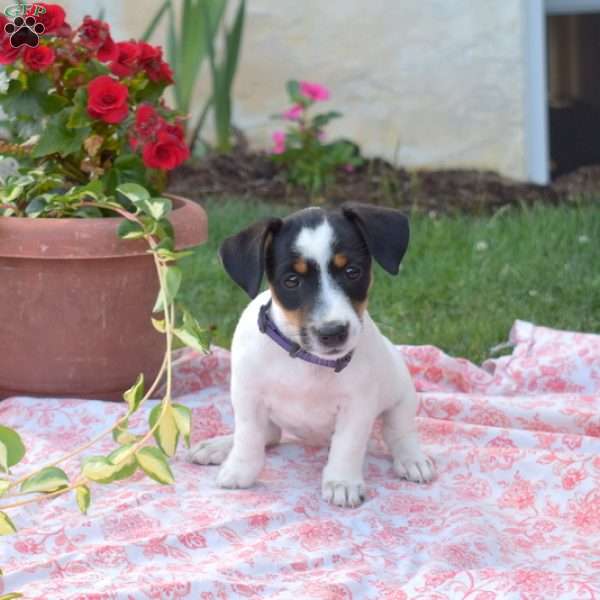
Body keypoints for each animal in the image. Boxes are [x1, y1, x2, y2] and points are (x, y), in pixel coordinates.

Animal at [190, 202, 434, 506]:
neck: (307, 359)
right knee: (268, 434)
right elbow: (248, 435)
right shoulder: (248, 395)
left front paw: (342, 481)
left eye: (352, 271)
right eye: (291, 280)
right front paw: (239, 470)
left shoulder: (358, 406)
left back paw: (412, 459)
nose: (334, 332)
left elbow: (348, 444)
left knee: (399, 432)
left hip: (401, 397)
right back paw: (218, 446)